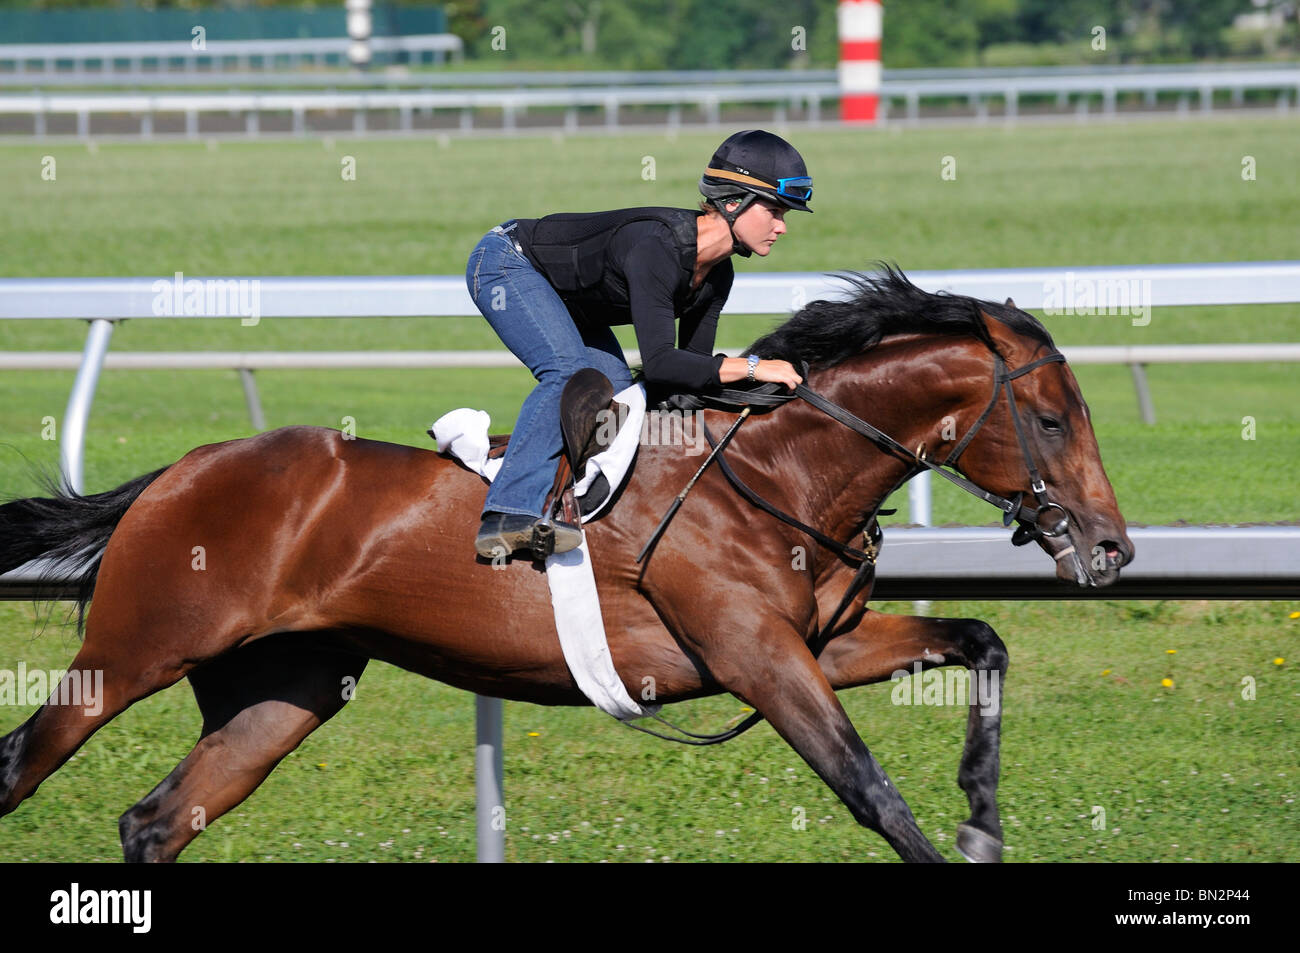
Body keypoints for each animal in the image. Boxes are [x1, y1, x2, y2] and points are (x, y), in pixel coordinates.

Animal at [0, 267, 1133, 863]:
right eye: (1049, 418)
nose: (1112, 547)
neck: (776, 472)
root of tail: (178, 471)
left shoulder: (822, 641)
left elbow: (980, 638)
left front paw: (982, 817)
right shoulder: (757, 655)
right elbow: (869, 787)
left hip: (285, 687)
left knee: (155, 820)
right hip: (134, 649)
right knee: (24, 763)